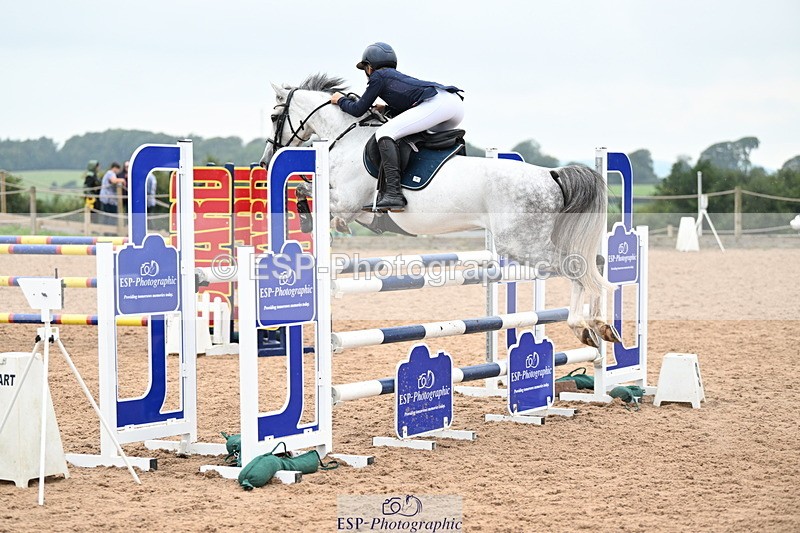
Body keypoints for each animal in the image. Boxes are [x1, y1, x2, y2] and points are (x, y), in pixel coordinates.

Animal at [260, 73, 620, 349]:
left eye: (275, 117)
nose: (265, 162)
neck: (346, 139)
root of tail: (551, 175)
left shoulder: (348, 202)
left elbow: (306, 192)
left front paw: (313, 221)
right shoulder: (358, 209)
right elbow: (305, 190)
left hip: (522, 244)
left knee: (579, 269)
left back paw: (589, 325)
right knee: (586, 266)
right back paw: (598, 328)